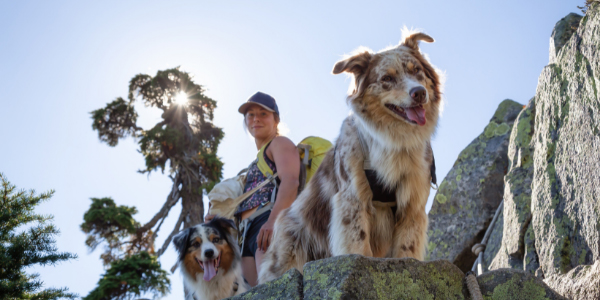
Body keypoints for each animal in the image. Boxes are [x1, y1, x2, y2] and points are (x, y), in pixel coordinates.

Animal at [258, 31, 440, 284]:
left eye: (417, 71)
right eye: (387, 78)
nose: (419, 92)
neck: (395, 141)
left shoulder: (412, 202)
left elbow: (407, 247)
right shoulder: (352, 197)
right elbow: (358, 243)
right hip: (292, 242)